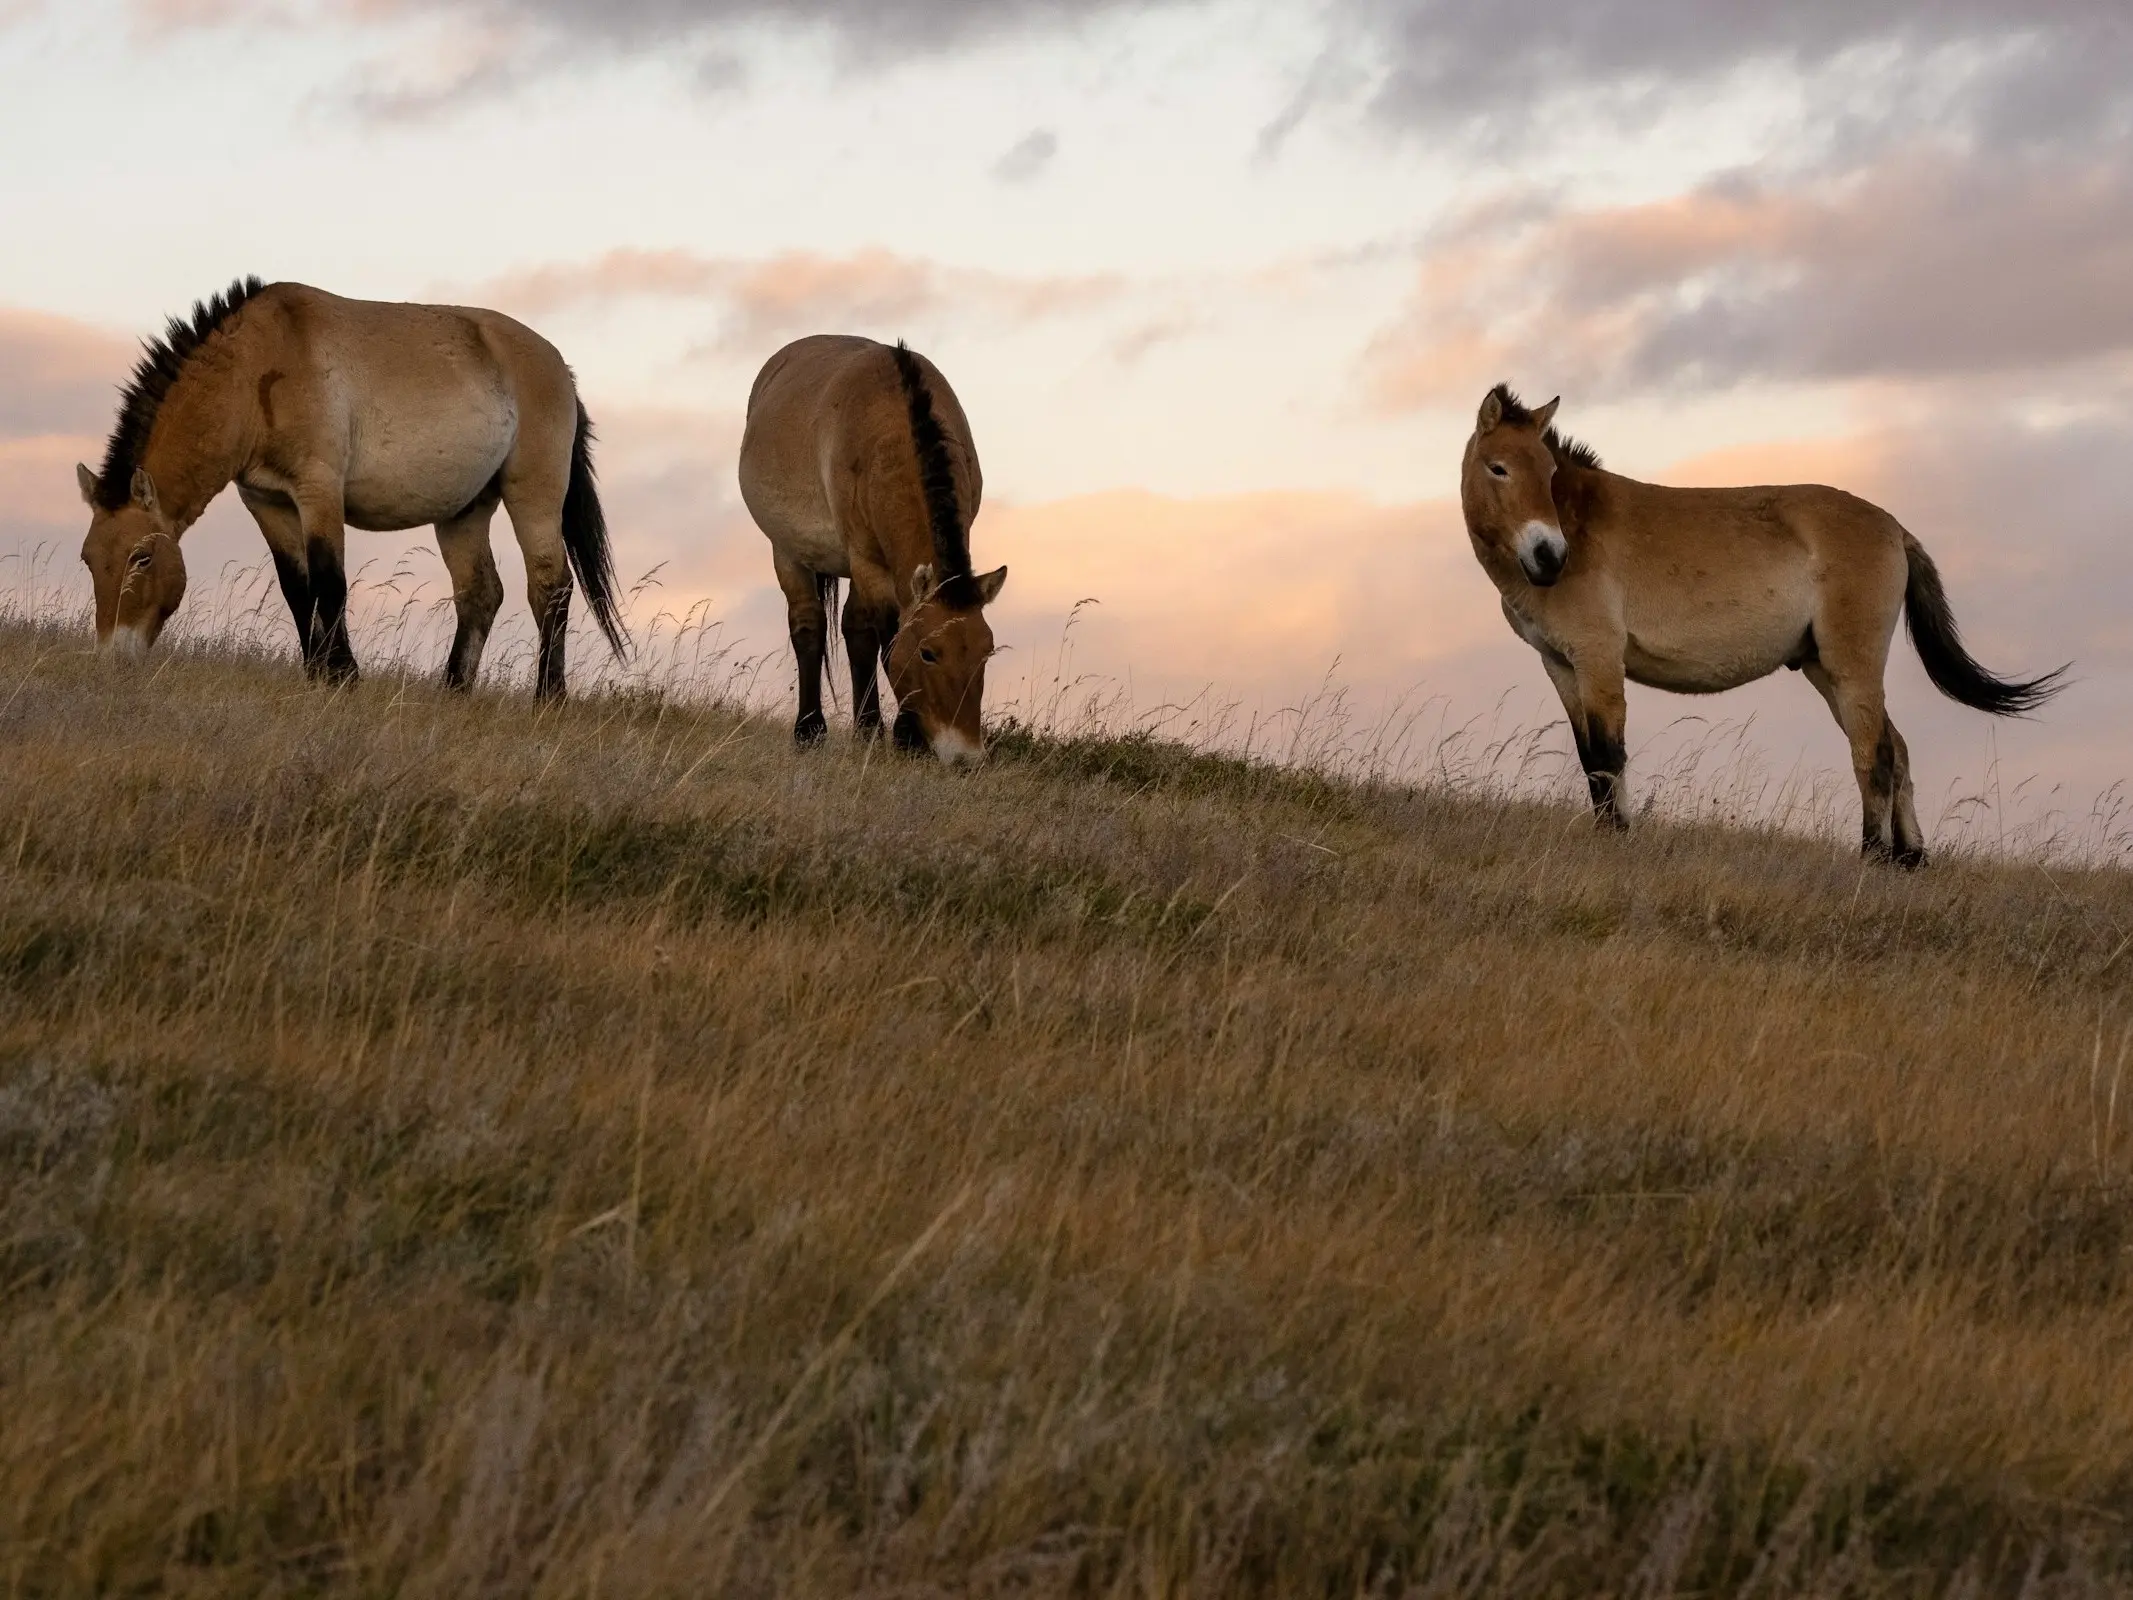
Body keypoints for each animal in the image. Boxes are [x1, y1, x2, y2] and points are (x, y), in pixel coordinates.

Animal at [83, 275, 631, 695]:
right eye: (89, 559)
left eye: (141, 557)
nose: (112, 658)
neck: (258, 369)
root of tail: (560, 367)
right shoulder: (267, 502)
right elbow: (298, 589)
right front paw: (316, 674)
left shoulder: (319, 491)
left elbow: (330, 582)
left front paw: (344, 676)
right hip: (464, 511)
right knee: (480, 592)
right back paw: (454, 691)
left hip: (533, 497)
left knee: (551, 587)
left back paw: (549, 697)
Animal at [742, 334, 1006, 768]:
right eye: (928, 653)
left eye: (986, 653)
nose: (966, 758)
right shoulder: (866, 561)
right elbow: (888, 639)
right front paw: (906, 736)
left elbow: (868, 636)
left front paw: (886, 734)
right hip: (790, 553)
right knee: (809, 626)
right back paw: (810, 731)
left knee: (853, 628)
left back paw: (865, 731)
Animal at [1467, 386, 2064, 866]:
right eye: (1499, 468)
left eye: (1548, 473)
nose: (1549, 556)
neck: (1580, 525)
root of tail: (1896, 529)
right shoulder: (1561, 665)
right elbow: (1590, 757)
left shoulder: (1599, 660)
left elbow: (1610, 755)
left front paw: (1620, 839)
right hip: (1825, 669)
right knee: (1896, 749)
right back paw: (1910, 859)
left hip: (1852, 667)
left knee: (1874, 753)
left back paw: (1872, 857)